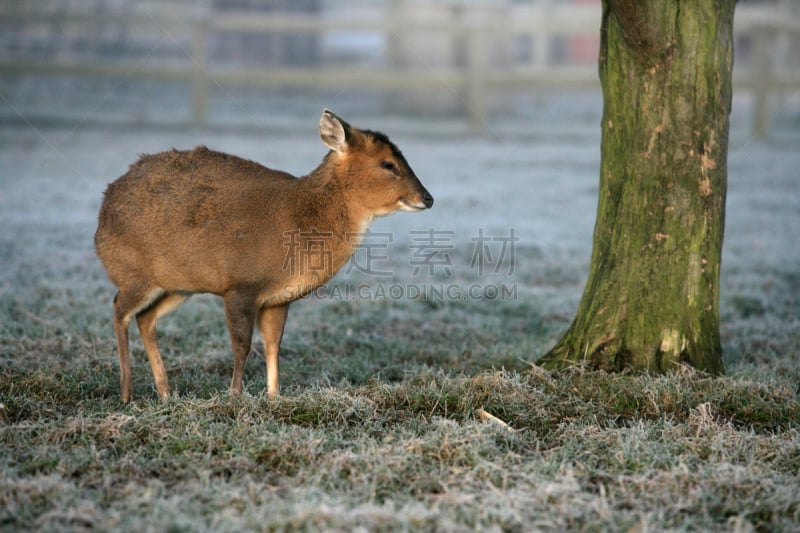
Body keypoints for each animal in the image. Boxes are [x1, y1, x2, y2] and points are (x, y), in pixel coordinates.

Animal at [94, 111, 434, 404]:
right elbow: (242, 345)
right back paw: (126, 392)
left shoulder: (278, 298)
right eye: (388, 164)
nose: (427, 198)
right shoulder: (240, 285)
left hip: (176, 284)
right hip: (133, 271)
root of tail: (103, 211)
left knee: (144, 318)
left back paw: (165, 392)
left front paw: (273, 396)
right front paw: (234, 395)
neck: (302, 219)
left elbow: (273, 346)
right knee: (119, 310)